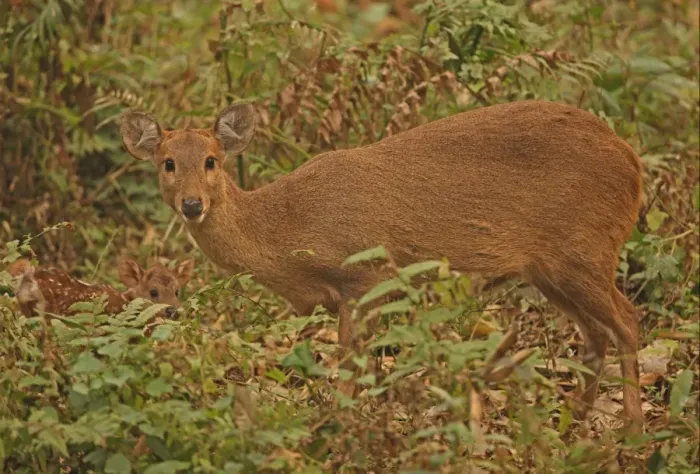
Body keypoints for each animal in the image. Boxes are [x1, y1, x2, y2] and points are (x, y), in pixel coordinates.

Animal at [119, 100, 644, 434]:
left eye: (212, 160)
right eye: (168, 162)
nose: (192, 205)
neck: (288, 231)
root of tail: (632, 161)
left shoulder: (364, 279)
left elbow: (351, 373)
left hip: (584, 249)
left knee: (627, 322)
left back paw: (631, 433)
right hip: (551, 269)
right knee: (595, 337)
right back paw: (574, 427)